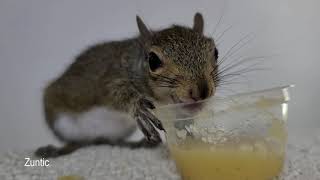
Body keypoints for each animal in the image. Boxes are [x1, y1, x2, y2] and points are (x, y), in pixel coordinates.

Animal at [35, 12, 220, 158]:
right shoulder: (112, 77)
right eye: (153, 60)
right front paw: (138, 106)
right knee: (76, 142)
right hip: (61, 122)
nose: (201, 91)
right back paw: (58, 150)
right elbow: (116, 92)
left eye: (215, 52)